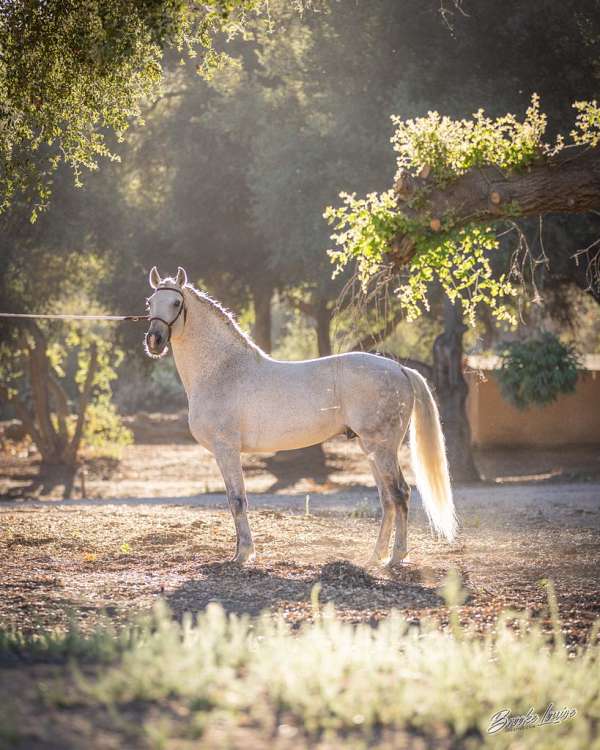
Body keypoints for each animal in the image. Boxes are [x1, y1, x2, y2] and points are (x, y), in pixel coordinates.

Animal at [144, 266, 457, 565]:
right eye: (150, 303)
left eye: (176, 302)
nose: (154, 341)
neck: (223, 370)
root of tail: (400, 369)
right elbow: (235, 501)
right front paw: (241, 552)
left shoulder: (226, 449)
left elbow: (237, 500)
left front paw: (243, 554)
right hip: (369, 448)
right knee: (387, 498)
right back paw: (375, 557)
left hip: (382, 448)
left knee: (400, 494)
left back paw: (396, 558)